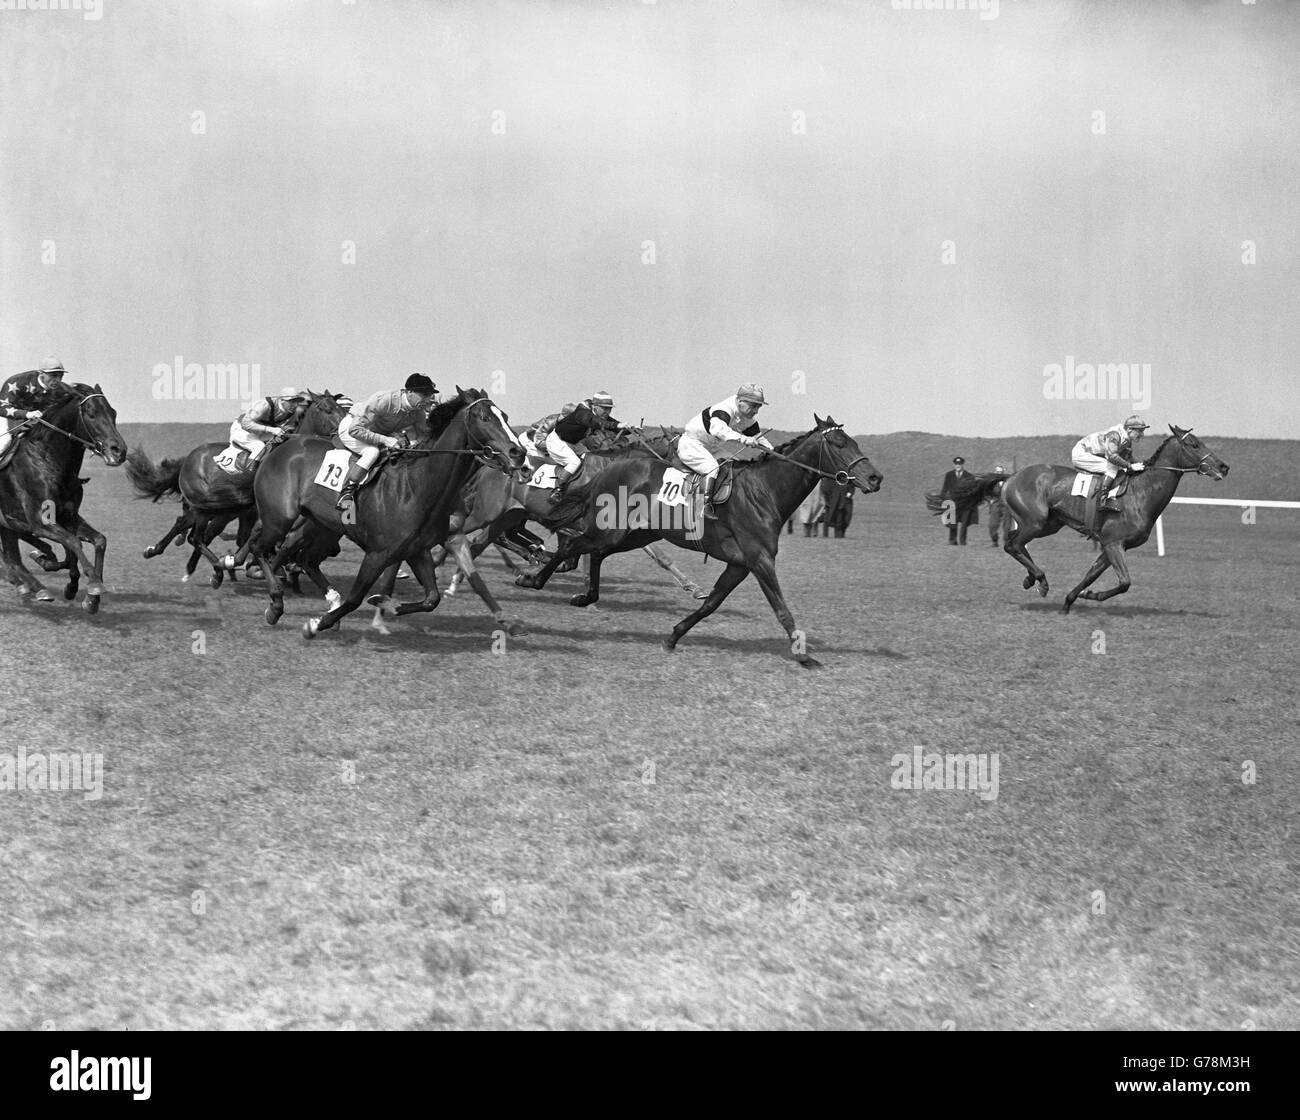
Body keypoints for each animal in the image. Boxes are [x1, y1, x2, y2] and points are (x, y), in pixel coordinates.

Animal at [0, 384, 128, 613]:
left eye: (113, 413)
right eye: (92, 414)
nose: (119, 451)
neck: (47, 462)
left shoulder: (69, 517)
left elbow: (98, 541)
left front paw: (88, 596)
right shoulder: (39, 522)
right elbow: (73, 542)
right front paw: (93, 586)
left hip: (6, 523)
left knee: (12, 558)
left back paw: (33, 585)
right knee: (10, 559)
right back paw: (35, 586)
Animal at [126, 389, 348, 587]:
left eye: (341, 409)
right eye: (327, 410)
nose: (343, 433)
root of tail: (188, 458)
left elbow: (257, 538)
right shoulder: (261, 510)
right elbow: (255, 538)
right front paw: (245, 565)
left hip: (216, 508)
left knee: (186, 526)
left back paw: (161, 553)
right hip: (206, 506)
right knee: (195, 535)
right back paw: (211, 569)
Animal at [248, 387, 522, 639]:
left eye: (506, 416)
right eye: (485, 418)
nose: (518, 453)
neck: (417, 487)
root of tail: (285, 444)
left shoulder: (418, 550)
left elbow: (432, 598)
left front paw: (385, 603)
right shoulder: (378, 554)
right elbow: (355, 598)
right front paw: (315, 625)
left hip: (321, 525)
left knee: (306, 559)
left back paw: (327, 600)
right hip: (280, 518)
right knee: (259, 547)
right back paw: (275, 602)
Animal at [512, 418, 878, 665]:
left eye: (853, 441)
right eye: (840, 444)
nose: (875, 477)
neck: (765, 491)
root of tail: (607, 469)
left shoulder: (740, 564)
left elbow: (710, 604)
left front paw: (673, 636)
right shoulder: (760, 560)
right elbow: (781, 609)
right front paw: (803, 655)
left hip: (635, 533)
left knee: (594, 552)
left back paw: (583, 594)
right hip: (613, 529)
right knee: (573, 546)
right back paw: (533, 579)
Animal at [982, 426, 1227, 613]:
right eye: (1194, 445)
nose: (1224, 467)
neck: (1140, 493)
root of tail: (1011, 476)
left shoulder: (1116, 545)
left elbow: (1091, 574)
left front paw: (1074, 600)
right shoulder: (1113, 543)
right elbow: (1125, 582)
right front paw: (1093, 595)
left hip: (1048, 524)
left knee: (1016, 542)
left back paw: (1030, 579)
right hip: (1035, 522)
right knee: (1012, 544)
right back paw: (1040, 580)